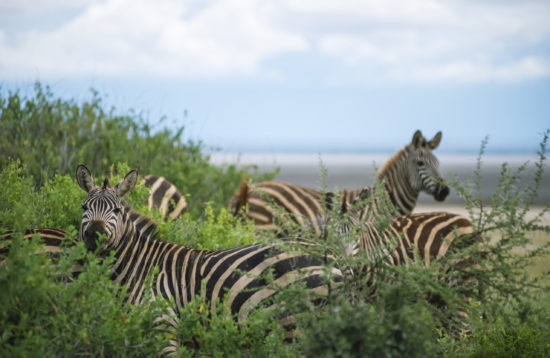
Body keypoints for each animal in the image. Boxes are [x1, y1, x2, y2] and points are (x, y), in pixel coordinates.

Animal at [75, 165, 342, 356]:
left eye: (117, 211)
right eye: (84, 207)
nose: (94, 235)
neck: (139, 265)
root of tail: (330, 254)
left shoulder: (164, 326)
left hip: (295, 326)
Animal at [229, 130, 448, 236]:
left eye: (439, 163)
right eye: (420, 163)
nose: (445, 191)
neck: (384, 202)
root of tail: (245, 192)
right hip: (264, 230)